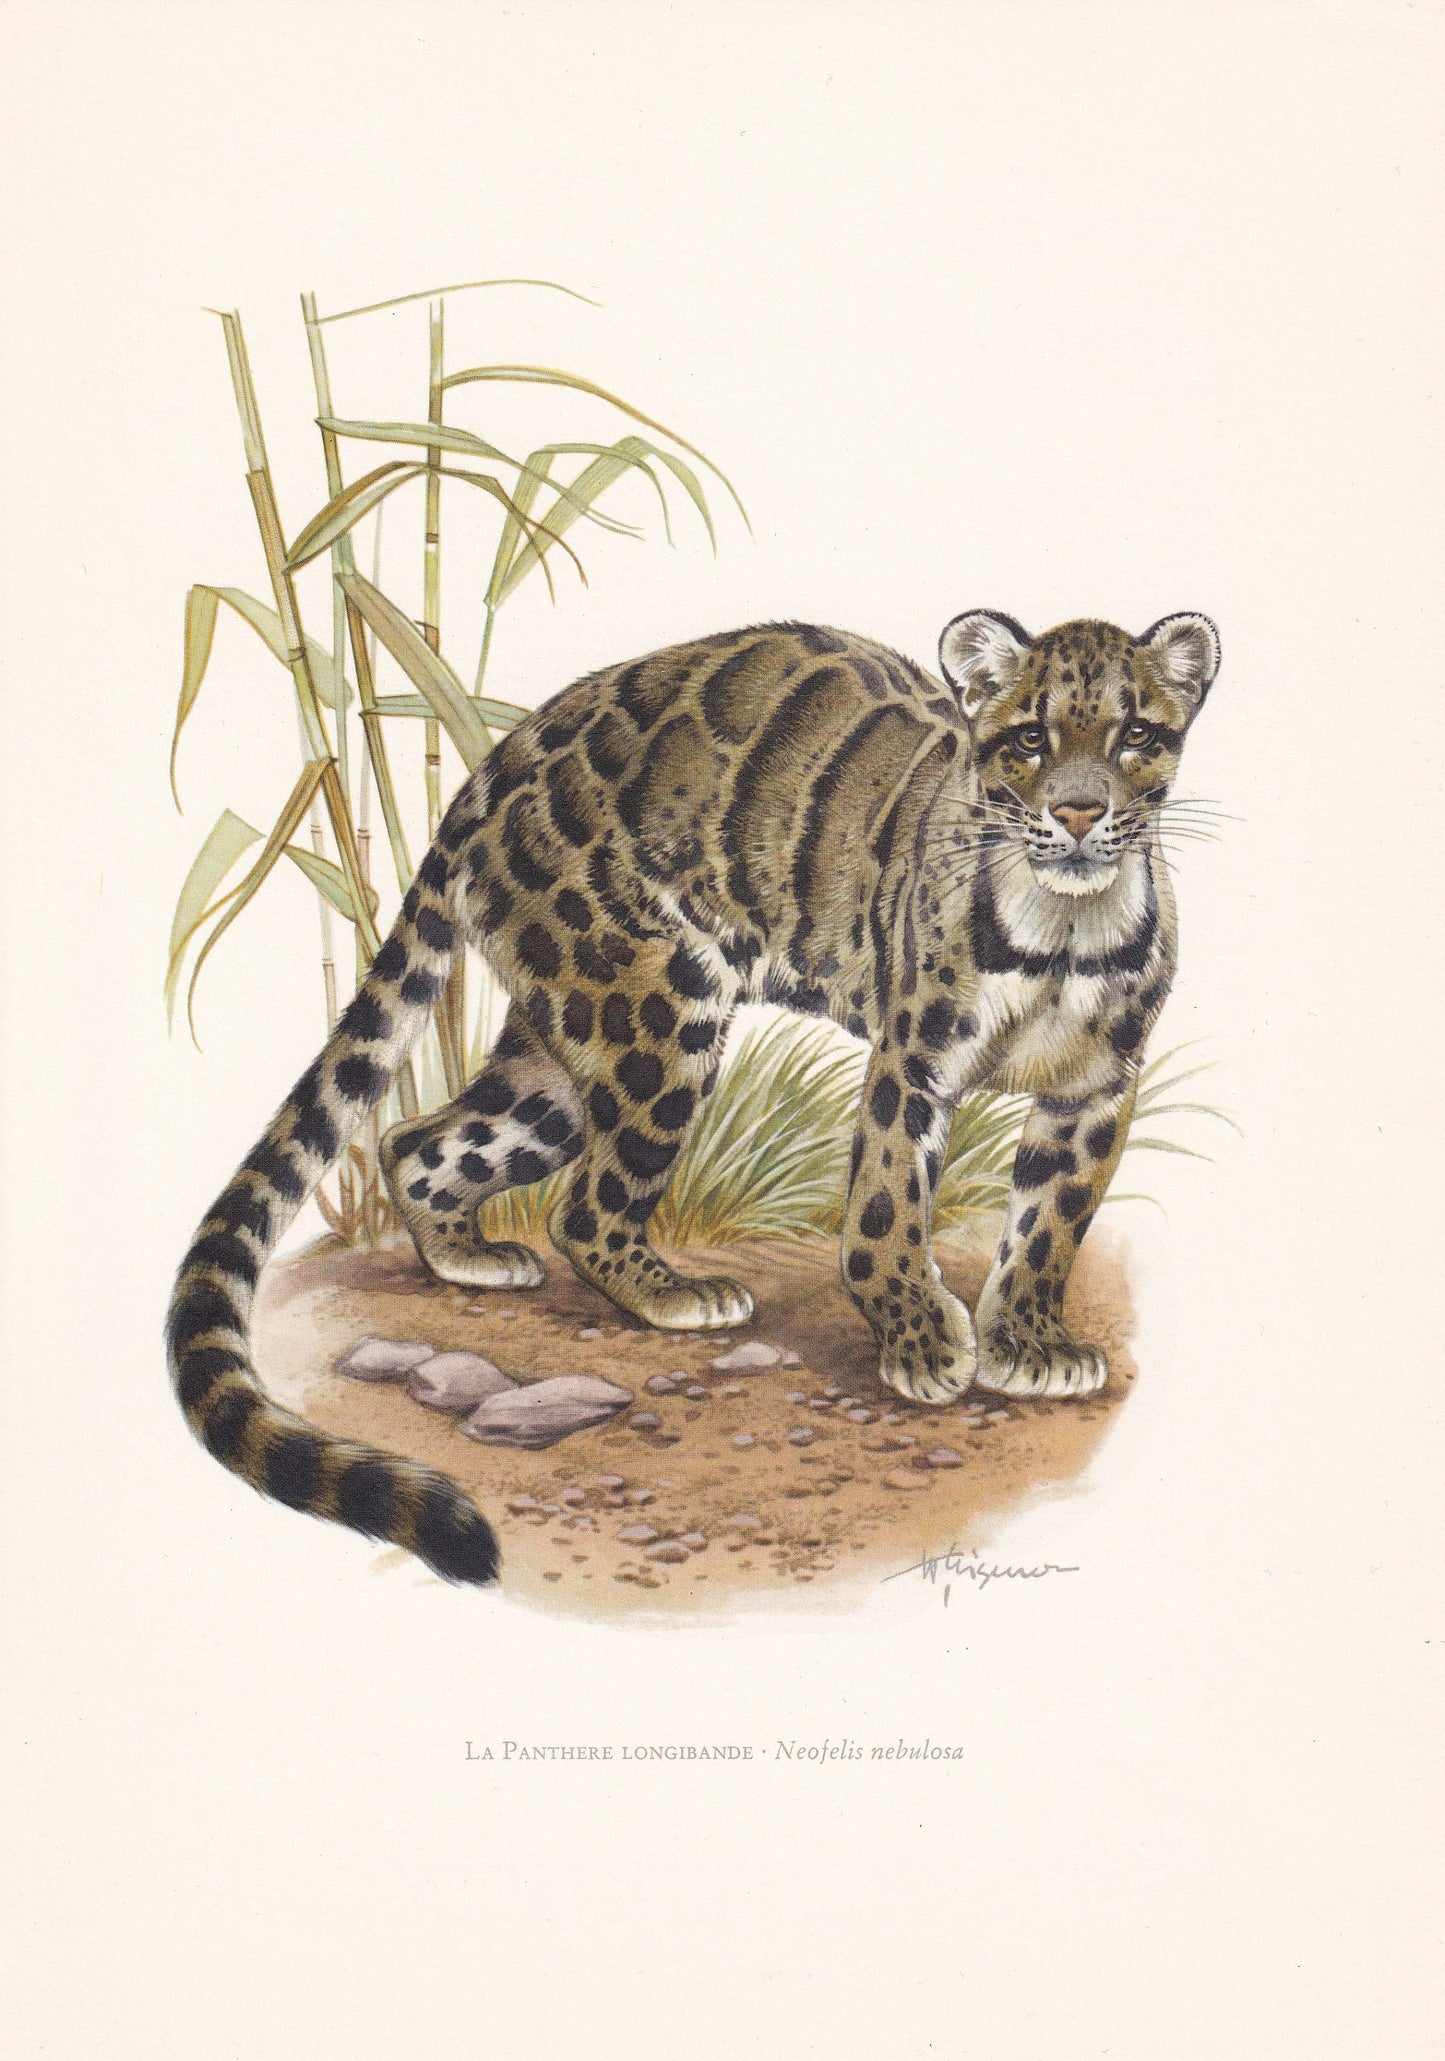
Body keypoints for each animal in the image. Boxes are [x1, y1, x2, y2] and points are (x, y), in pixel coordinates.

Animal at [166, 607, 1220, 1583]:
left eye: (1133, 733)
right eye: (1030, 738)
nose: (1079, 813)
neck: (1066, 928)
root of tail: (496, 763)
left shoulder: (1094, 1088)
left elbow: (1049, 1226)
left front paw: (1031, 1341)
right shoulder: (910, 1063)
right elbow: (885, 1212)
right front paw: (922, 1345)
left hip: (561, 1060)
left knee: (419, 1142)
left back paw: (469, 1255)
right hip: (656, 1012)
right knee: (586, 1205)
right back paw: (677, 1295)